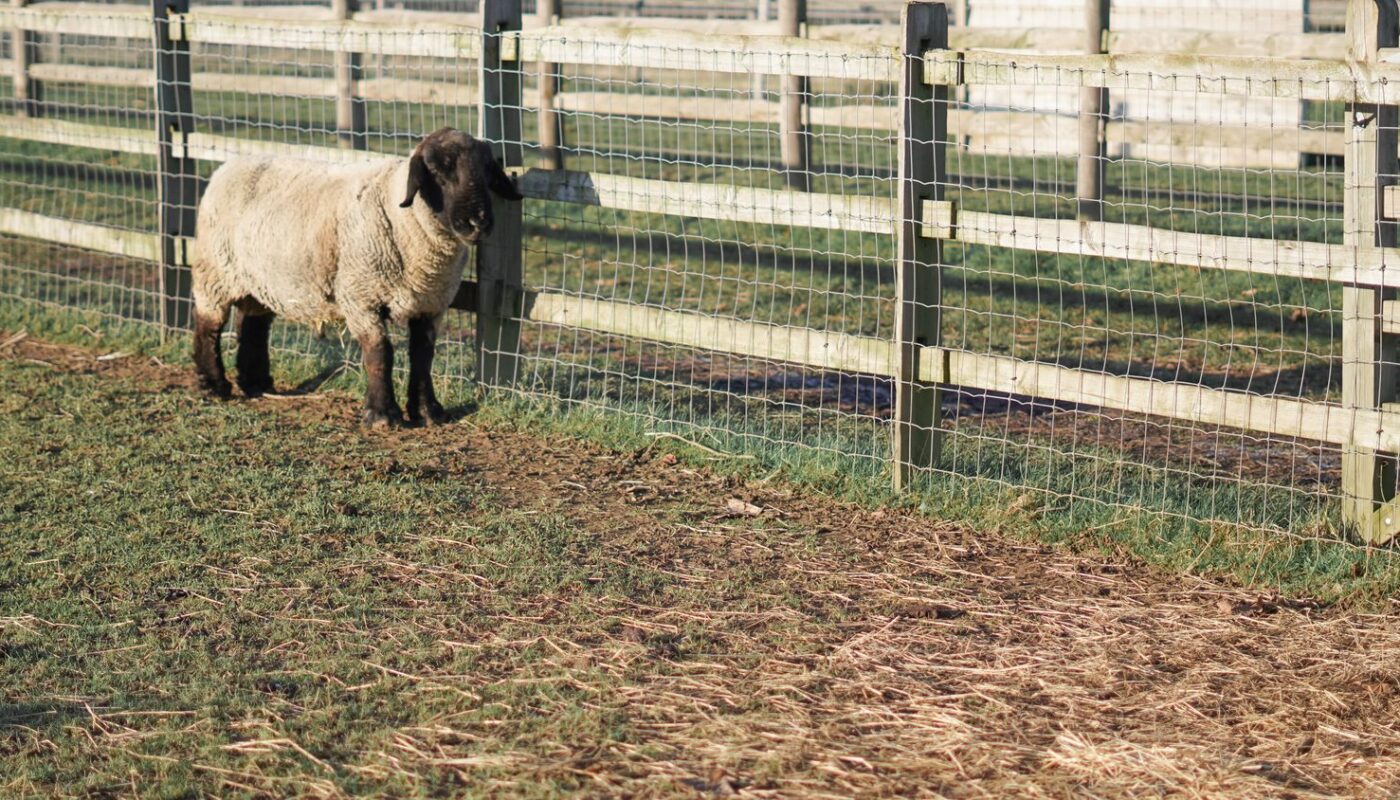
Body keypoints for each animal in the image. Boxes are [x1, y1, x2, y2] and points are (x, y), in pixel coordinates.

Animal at [190, 127, 523, 428]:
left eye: (487, 173)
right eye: (437, 172)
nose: (477, 223)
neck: (401, 216)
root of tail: (227, 166)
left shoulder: (431, 303)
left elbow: (422, 355)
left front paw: (428, 412)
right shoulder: (361, 297)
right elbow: (380, 353)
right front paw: (382, 416)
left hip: (259, 279)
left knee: (253, 322)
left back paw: (256, 383)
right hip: (215, 272)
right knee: (209, 325)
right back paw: (213, 386)